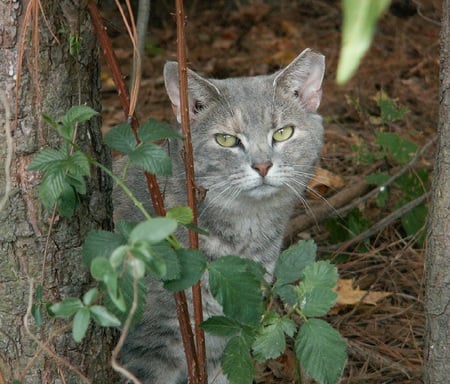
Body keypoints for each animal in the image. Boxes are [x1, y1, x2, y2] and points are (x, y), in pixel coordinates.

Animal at [118, 48, 326, 384]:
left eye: (283, 133)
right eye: (226, 140)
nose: (263, 165)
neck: (246, 232)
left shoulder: (222, 339)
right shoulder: (148, 345)